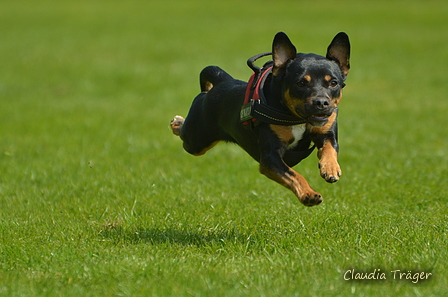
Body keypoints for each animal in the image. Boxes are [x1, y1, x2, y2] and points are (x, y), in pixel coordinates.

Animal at [171, 31, 350, 205]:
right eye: (300, 83)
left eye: (334, 83)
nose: (321, 102)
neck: (297, 118)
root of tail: (222, 81)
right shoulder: (270, 158)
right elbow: (294, 175)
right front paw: (309, 194)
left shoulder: (327, 132)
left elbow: (330, 148)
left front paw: (330, 168)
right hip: (196, 140)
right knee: (185, 135)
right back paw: (177, 122)